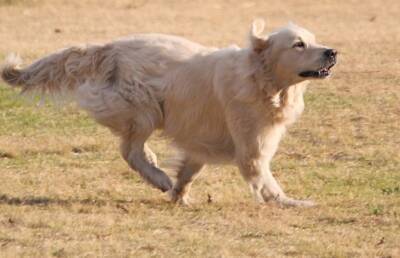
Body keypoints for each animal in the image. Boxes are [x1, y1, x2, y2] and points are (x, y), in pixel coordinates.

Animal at [0, 19, 338, 206]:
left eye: (313, 40)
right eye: (298, 44)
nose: (332, 52)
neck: (261, 78)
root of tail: (109, 48)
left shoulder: (201, 142)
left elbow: (189, 171)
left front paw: (179, 195)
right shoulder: (252, 149)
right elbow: (266, 181)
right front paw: (293, 202)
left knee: (132, 149)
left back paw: (160, 178)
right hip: (144, 109)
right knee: (130, 150)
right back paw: (156, 175)